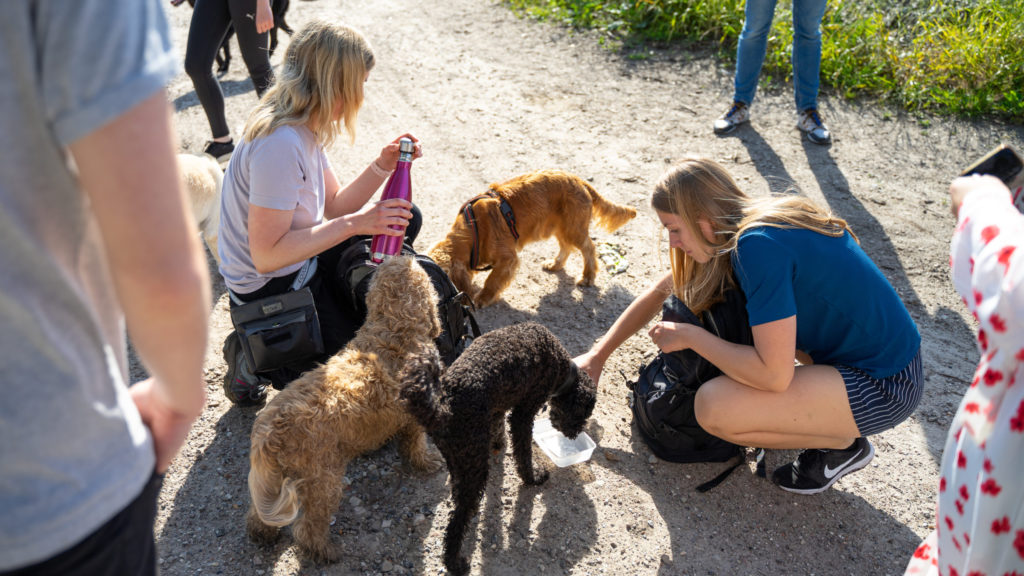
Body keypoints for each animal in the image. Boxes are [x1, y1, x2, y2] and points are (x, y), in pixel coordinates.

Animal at [245, 254, 446, 561]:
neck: (394, 329)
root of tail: (269, 431)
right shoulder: (414, 418)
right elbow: (416, 445)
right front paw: (427, 462)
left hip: (274, 479)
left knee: (259, 513)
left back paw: (262, 534)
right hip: (323, 479)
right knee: (309, 526)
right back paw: (326, 551)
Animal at [397, 319, 598, 573]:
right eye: (583, 415)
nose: (574, 435)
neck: (561, 368)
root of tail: (443, 409)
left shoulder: (498, 406)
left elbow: (498, 425)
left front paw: (498, 443)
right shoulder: (523, 413)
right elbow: (523, 453)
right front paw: (533, 477)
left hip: (459, 458)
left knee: (459, 497)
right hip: (474, 465)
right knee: (456, 521)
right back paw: (455, 562)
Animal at [428, 168, 634, 307]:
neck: (474, 230)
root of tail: (579, 180)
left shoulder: (507, 259)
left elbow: (492, 281)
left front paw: (482, 298)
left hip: (573, 228)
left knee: (589, 248)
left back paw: (588, 277)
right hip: (559, 227)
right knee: (566, 247)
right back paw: (555, 264)